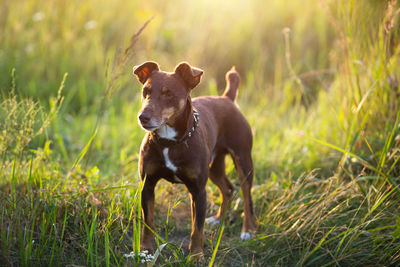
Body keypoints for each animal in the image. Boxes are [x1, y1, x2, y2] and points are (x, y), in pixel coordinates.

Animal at [134, 60, 256, 258]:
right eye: (146, 91)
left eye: (169, 94)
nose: (143, 117)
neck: (170, 142)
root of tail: (227, 98)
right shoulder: (147, 185)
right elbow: (148, 221)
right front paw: (145, 249)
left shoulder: (198, 190)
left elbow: (197, 228)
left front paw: (196, 255)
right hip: (214, 166)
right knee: (228, 188)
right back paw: (218, 219)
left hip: (243, 161)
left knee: (246, 196)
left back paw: (248, 230)